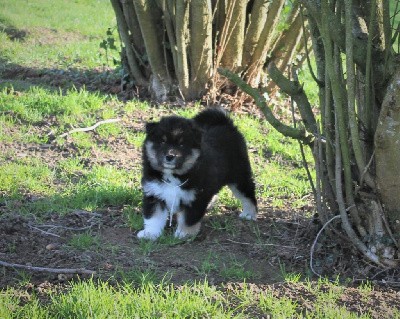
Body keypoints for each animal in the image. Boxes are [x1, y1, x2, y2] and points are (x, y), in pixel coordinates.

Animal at [137, 109, 256, 241]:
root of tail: (227, 124)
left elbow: (188, 219)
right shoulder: (154, 194)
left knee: (248, 195)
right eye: (163, 141)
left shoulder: (195, 198)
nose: (169, 156)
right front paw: (150, 234)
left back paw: (249, 214)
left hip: (239, 177)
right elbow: (153, 218)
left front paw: (184, 234)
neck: (174, 175)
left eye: (182, 144)